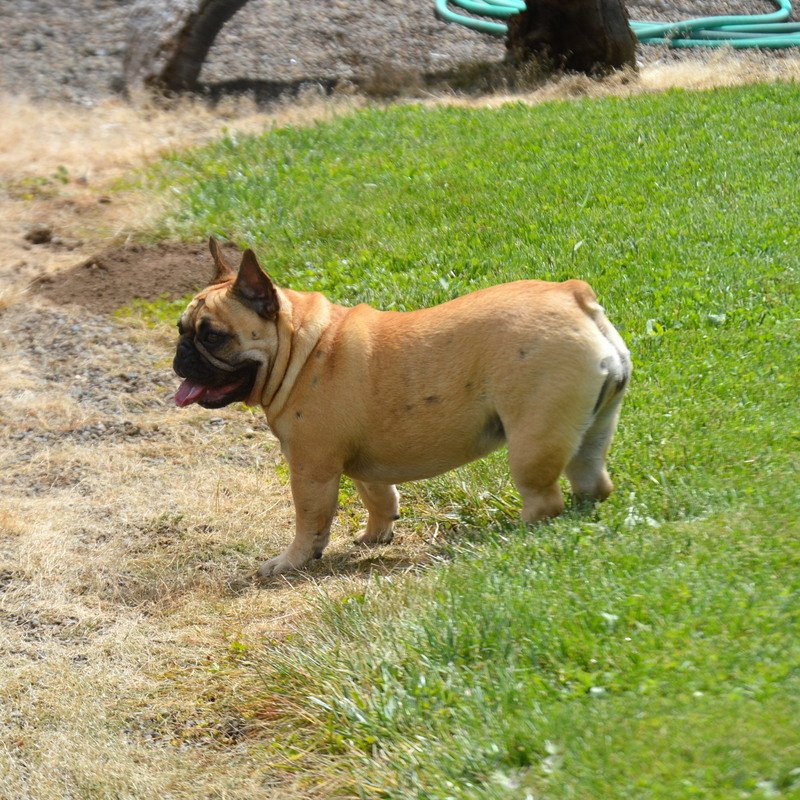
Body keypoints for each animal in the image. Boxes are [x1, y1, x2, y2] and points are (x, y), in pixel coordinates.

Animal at [173, 238, 631, 576]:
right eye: (180, 328)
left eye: (212, 336)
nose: (180, 354)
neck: (302, 347)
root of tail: (574, 296)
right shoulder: (359, 463)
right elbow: (377, 496)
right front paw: (376, 536)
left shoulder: (311, 469)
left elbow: (310, 522)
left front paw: (290, 562)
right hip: (592, 430)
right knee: (592, 480)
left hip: (532, 440)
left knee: (544, 499)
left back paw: (516, 532)